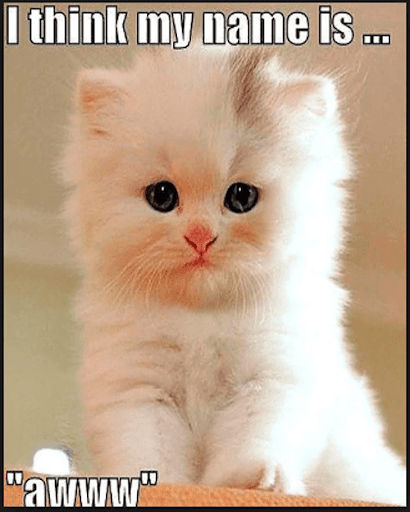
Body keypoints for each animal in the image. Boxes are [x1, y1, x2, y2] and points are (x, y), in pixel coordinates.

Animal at [61, 46, 406, 505]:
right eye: (162, 196)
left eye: (241, 197)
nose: (200, 236)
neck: (201, 320)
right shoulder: (138, 390)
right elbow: (150, 451)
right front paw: (158, 485)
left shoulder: (271, 379)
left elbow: (254, 439)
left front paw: (255, 480)